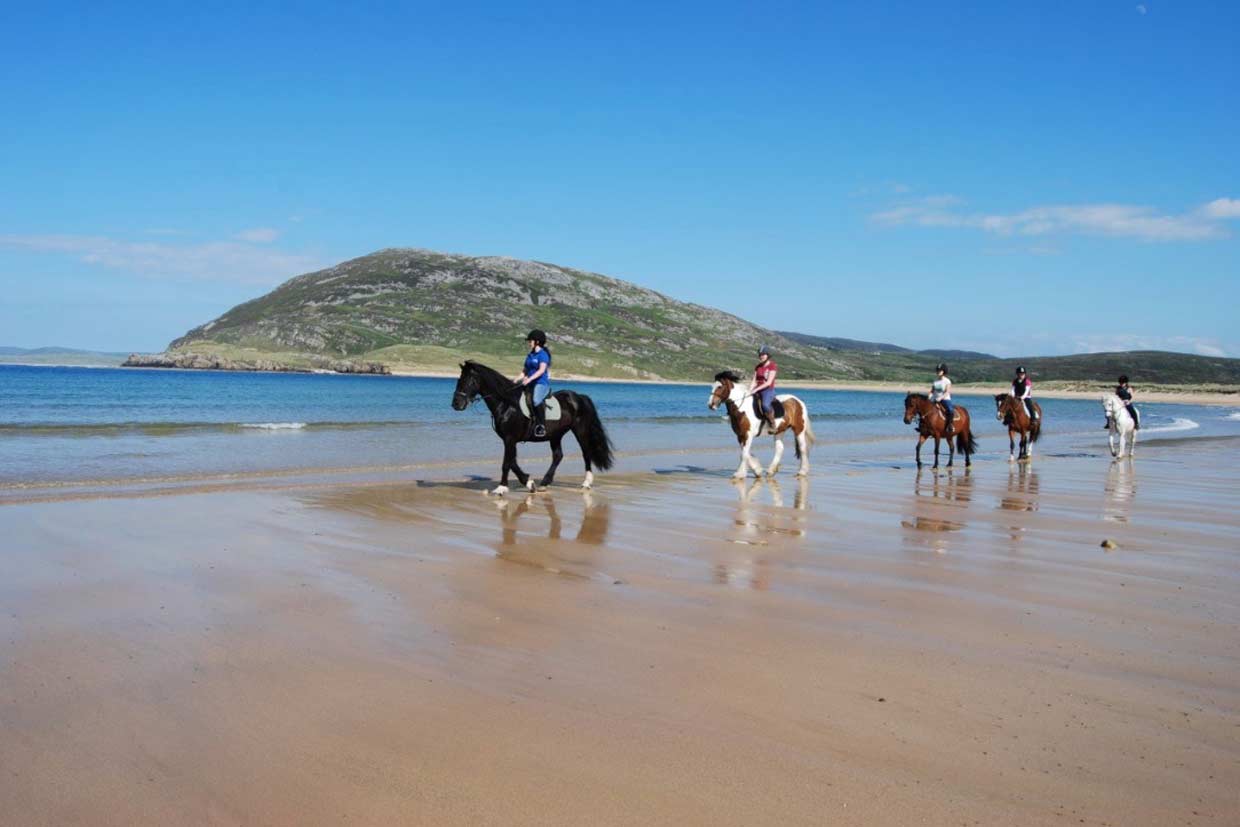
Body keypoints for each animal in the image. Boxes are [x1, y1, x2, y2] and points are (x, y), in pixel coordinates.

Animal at [451, 359, 615, 490]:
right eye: (459, 380)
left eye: (470, 381)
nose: (456, 404)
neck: (507, 404)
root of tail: (579, 397)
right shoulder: (508, 440)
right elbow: (512, 461)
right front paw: (528, 482)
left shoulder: (510, 439)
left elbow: (507, 463)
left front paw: (502, 488)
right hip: (556, 434)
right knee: (558, 456)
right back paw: (545, 482)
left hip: (579, 430)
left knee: (586, 452)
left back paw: (586, 482)